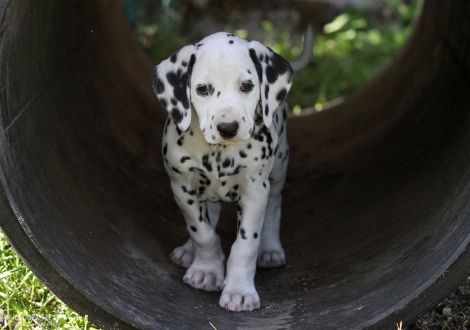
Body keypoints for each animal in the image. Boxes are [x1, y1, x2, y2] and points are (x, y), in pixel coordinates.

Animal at [152, 31, 292, 312]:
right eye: (202, 90)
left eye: (247, 86)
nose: (228, 127)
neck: (218, 153)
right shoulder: (182, 188)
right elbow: (202, 232)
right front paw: (206, 271)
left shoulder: (254, 193)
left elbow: (246, 245)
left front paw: (239, 290)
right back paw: (187, 251)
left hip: (279, 165)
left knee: (274, 204)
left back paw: (270, 248)